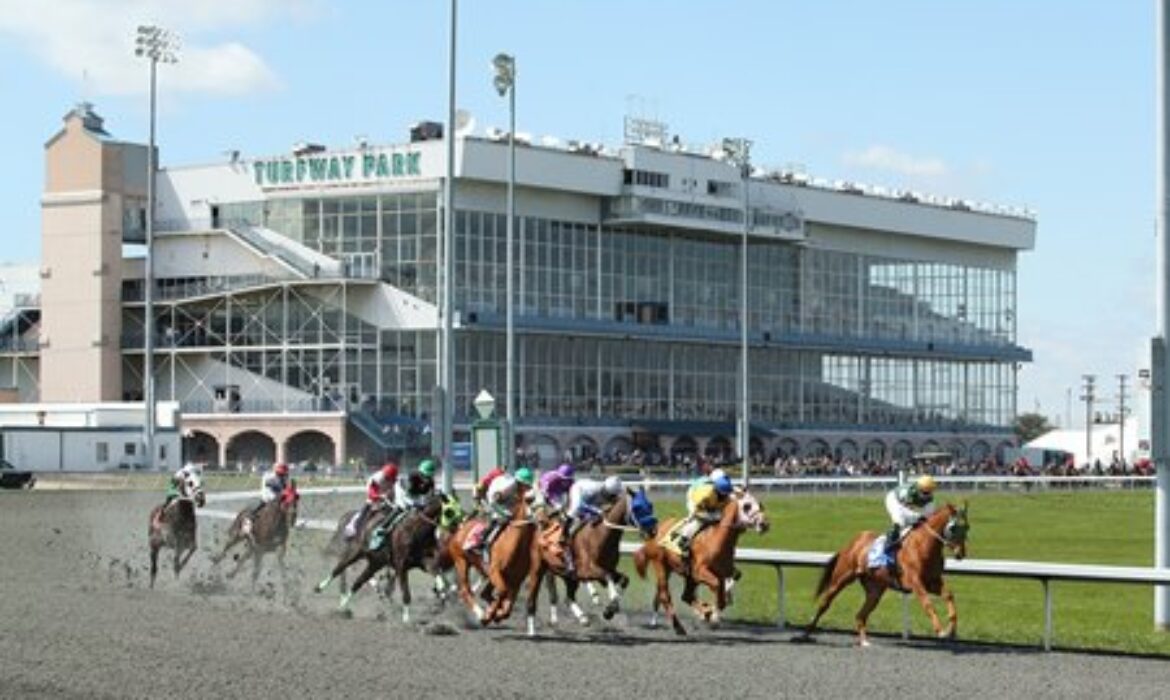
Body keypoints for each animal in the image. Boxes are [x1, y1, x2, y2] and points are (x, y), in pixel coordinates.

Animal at [636, 493, 772, 636]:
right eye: (746, 506)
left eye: (761, 505)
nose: (764, 524)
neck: (716, 539)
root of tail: (656, 530)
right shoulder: (699, 571)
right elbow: (716, 585)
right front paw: (711, 614)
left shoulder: (722, 572)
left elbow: (723, 594)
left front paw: (711, 612)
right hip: (661, 566)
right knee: (665, 596)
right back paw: (679, 627)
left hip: (688, 575)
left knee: (686, 595)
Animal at [800, 505, 973, 646]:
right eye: (953, 528)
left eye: (966, 527)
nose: (960, 554)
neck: (924, 546)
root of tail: (852, 544)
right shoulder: (915, 582)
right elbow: (927, 603)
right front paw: (941, 631)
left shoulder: (932, 581)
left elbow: (949, 595)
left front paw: (952, 630)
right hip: (841, 578)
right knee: (824, 604)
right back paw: (806, 634)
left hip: (875, 590)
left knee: (860, 615)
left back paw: (864, 642)